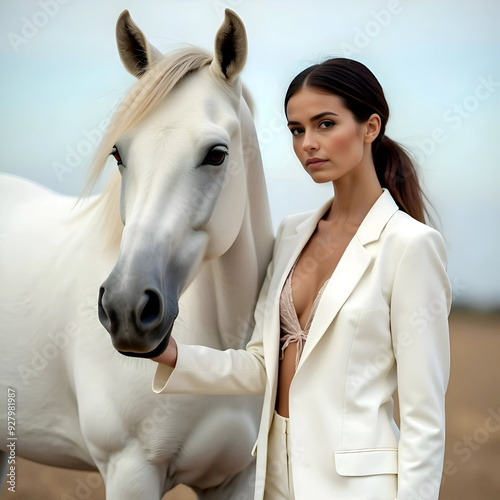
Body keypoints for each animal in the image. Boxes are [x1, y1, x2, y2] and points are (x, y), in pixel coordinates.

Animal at [0, 8, 274, 500]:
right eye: (118, 153)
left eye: (217, 154)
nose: (126, 307)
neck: (225, 354)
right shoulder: (130, 469)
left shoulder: (238, 478)